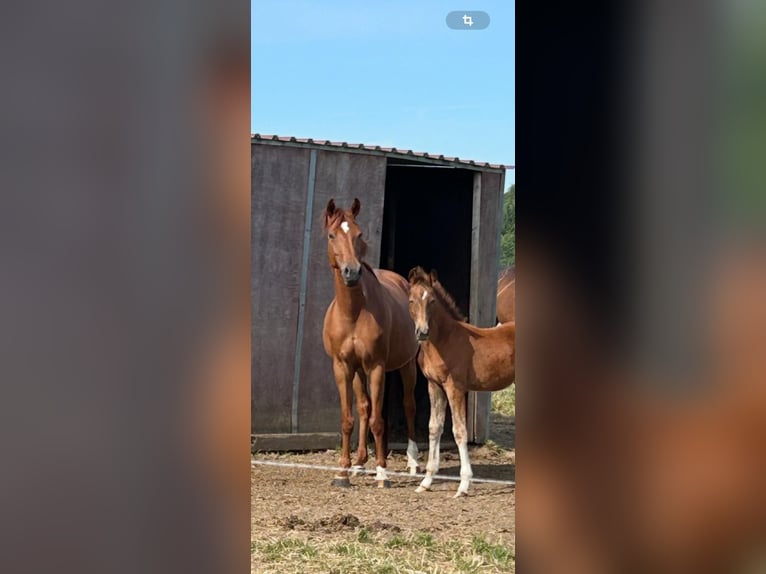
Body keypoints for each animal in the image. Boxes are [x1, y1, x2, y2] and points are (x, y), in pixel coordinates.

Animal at [322, 198, 420, 488]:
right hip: (359, 371)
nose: (352, 272)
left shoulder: (376, 366)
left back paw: (412, 462)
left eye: (359, 234)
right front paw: (343, 472)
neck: (353, 313)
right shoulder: (343, 367)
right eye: (332, 235)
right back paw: (360, 463)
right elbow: (349, 418)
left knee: (409, 405)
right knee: (364, 407)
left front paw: (382, 472)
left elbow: (378, 420)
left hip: (407, 365)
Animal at [407, 266, 516, 497]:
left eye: (432, 301)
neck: (444, 341)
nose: (422, 332)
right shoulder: (434, 385)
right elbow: (434, 427)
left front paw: (464, 485)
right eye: (411, 300)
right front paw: (426, 481)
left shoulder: (454, 387)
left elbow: (459, 431)